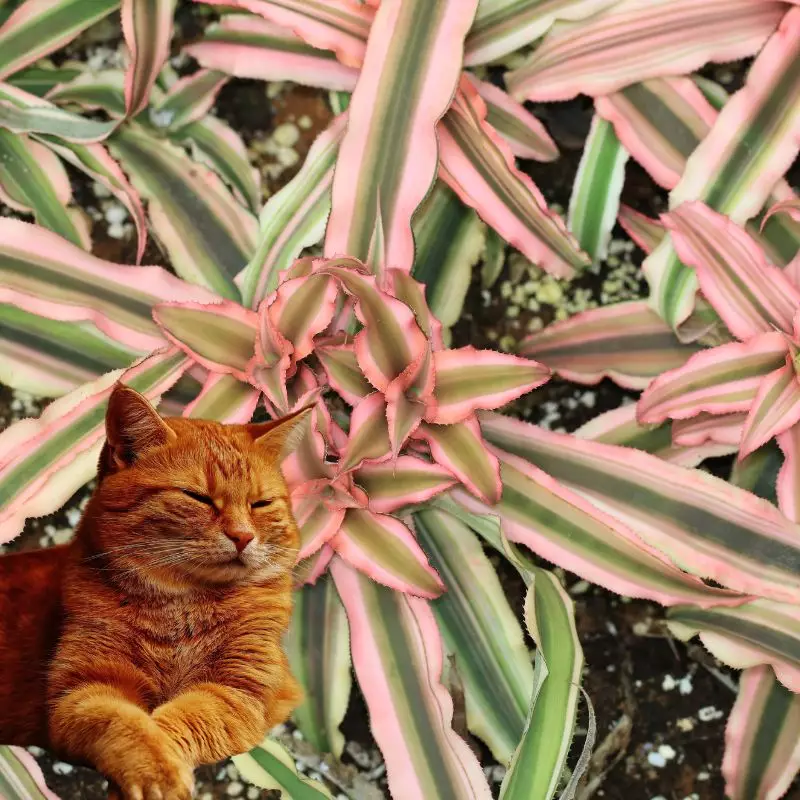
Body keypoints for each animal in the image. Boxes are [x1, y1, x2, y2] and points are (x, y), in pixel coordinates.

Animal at [0, 384, 310, 796]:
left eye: (260, 504)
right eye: (198, 497)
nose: (243, 536)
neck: (182, 605)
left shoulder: (243, 691)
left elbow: (184, 718)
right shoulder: (82, 690)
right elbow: (129, 724)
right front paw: (156, 772)